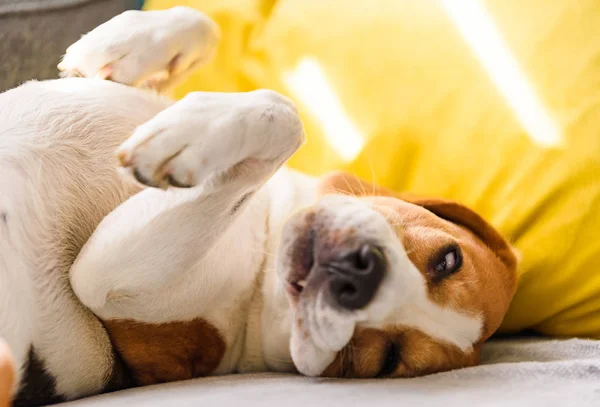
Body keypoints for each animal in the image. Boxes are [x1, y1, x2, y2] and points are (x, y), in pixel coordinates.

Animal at [0, 7, 516, 407]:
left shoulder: (105, 283)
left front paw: (186, 138)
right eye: (448, 259)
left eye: (387, 360)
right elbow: (205, 24)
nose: (361, 273)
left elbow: (285, 113)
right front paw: (116, 49)